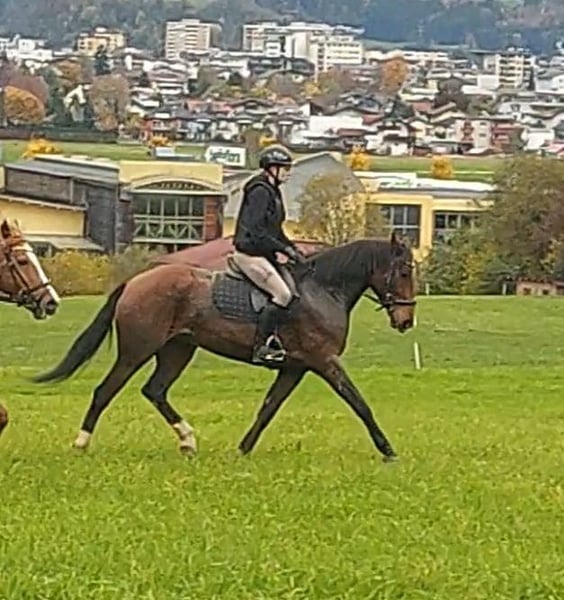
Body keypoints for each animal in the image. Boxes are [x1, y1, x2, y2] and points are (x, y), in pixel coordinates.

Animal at [32, 232, 416, 461]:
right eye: (403, 272)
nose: (405, 321)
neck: (323, 289)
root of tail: (135, 281)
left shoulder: (295, 367)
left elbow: (268, 408)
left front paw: (243, 449)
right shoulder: (324, 360)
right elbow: (359, 403)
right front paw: (387, 449)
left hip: (177, 350)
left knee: (155, 390)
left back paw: (187, 440)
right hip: (137, 351)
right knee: (105, 391)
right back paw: (82, 442)